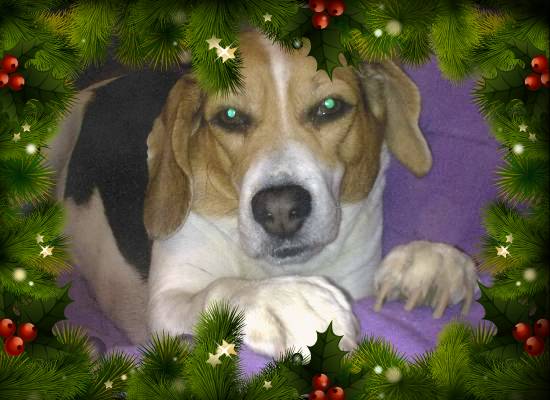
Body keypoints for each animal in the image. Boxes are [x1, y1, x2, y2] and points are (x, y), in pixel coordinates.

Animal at [46, 31, 477, 357]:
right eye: (230, 117)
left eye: (330, 106)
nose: (281, 209)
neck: (273, 269)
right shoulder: (167, 304)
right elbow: (218, 291)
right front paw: (282, 302)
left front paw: (427, 262)